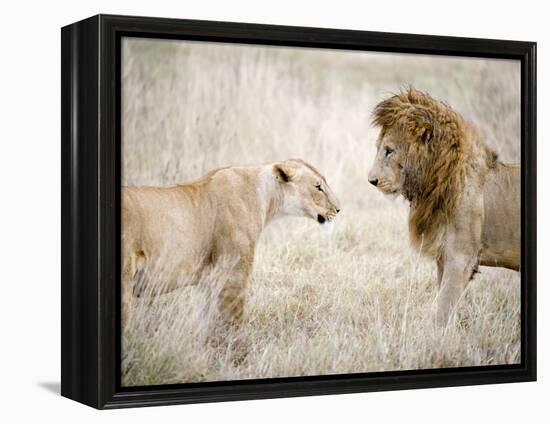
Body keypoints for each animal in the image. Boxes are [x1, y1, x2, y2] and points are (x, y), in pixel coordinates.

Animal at [123, 157, 340, 330]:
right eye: (318, 187)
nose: (338, 209)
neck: (266, 198)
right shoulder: (234, 275)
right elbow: (233, 325)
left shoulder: (209, 281)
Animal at [370, 88, 520, 324]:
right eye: (379, 149)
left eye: (389, 150)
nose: (371, 180)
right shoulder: (444, 257)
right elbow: (442, 302)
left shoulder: (461, 258)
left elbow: (442, 310)